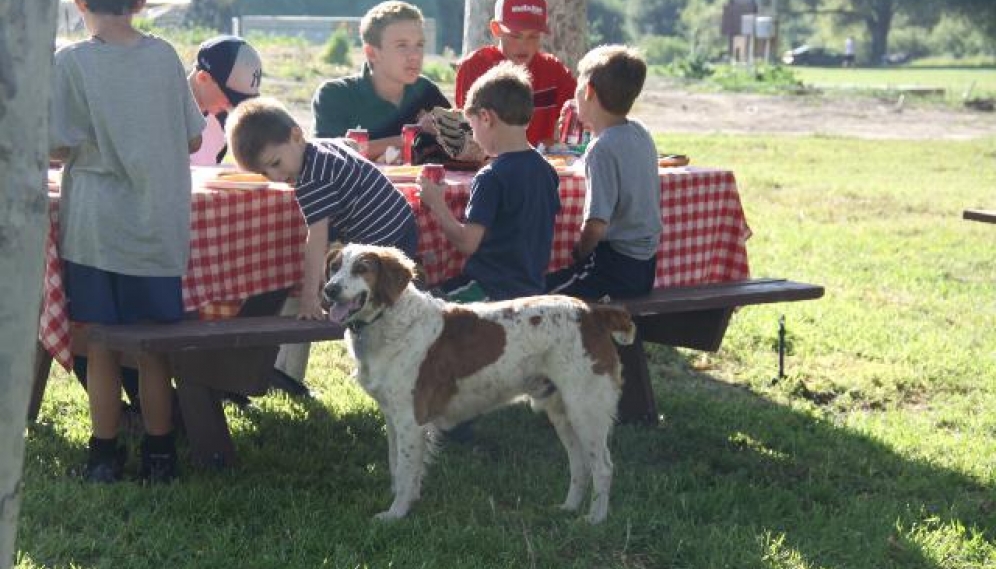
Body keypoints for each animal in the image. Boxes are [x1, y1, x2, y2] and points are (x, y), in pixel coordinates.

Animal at [322, 242, 636, 520]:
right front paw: (405, 502)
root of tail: (593, 312)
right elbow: (396, 465)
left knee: (603, 467)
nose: (329, 289)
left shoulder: (411, 420)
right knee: (580, 465)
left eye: (361, 268)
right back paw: (569, 508)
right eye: (334, 267)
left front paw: (396, 514)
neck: (389, 321)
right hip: (561, 412)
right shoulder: (392, 416)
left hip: (585, 409)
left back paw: (595, 519)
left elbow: (406, 469)